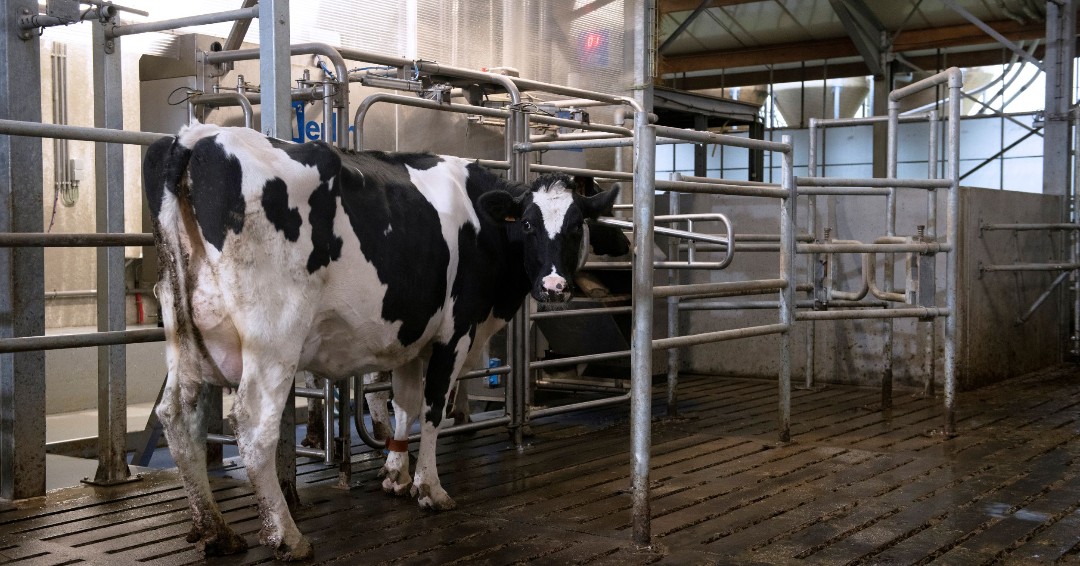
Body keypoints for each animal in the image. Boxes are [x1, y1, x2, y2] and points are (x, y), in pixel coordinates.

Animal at [143, 123, 618, 561]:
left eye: (577, 226)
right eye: (529, 224)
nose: (554, 287)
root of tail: (197, 136)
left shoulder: (411, 333)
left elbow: (404, 403)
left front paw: (396, 473)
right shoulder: (455, 330)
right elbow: (432, 408)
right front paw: (429, 487)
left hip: (183, 334)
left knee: (178, 417)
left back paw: (215, 529)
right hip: (273, 335)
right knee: (253, 427)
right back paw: (287, 536)